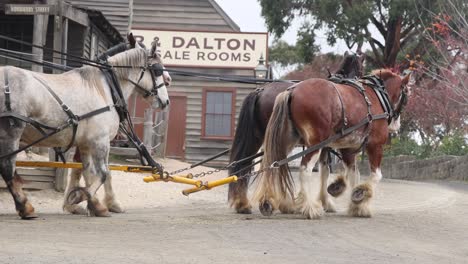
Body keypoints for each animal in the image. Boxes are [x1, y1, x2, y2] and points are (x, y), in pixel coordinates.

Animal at [228, 52, 366, 214]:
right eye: (362, 68)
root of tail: (260, 90)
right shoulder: (323, 145)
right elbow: (325, 171)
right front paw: (325, 200)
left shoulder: (323, 146)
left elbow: (324, 170)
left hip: (259, 138)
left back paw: (245, 203)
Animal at [252, 68, 410, 219]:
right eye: (406, 95)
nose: (397, 125)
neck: (376, 97)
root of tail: (292, 91)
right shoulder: (375, 145)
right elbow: (376, 175)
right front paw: (360, 194)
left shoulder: (348, 149)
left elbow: (353, 175)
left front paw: (357, 206)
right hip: (315, 144)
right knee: (305, 170)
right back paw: (310, 208)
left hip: (286, 141)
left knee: (274, 165)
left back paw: (269, 202)